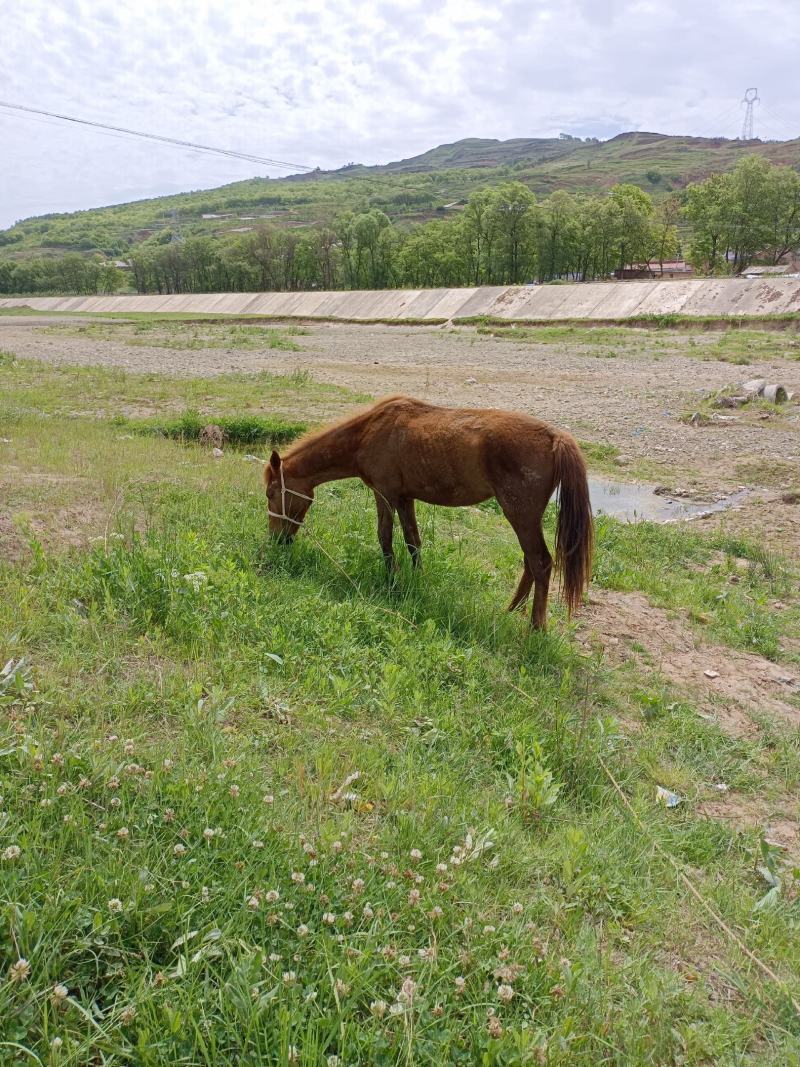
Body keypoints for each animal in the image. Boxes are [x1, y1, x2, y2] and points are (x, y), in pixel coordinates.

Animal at [264, 396, 593, 630]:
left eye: (270, 494)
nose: (277, 541)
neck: (369, 432)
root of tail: (555, 437)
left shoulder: (384, 494)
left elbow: (385, 538)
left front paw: (393, 581)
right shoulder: (404, 498)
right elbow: (413, 540)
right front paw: (417, 580)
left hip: (520, 514)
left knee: (541, 563)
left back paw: (535, 627)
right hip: (524, 518)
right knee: (530, 563)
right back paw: (510, 611)